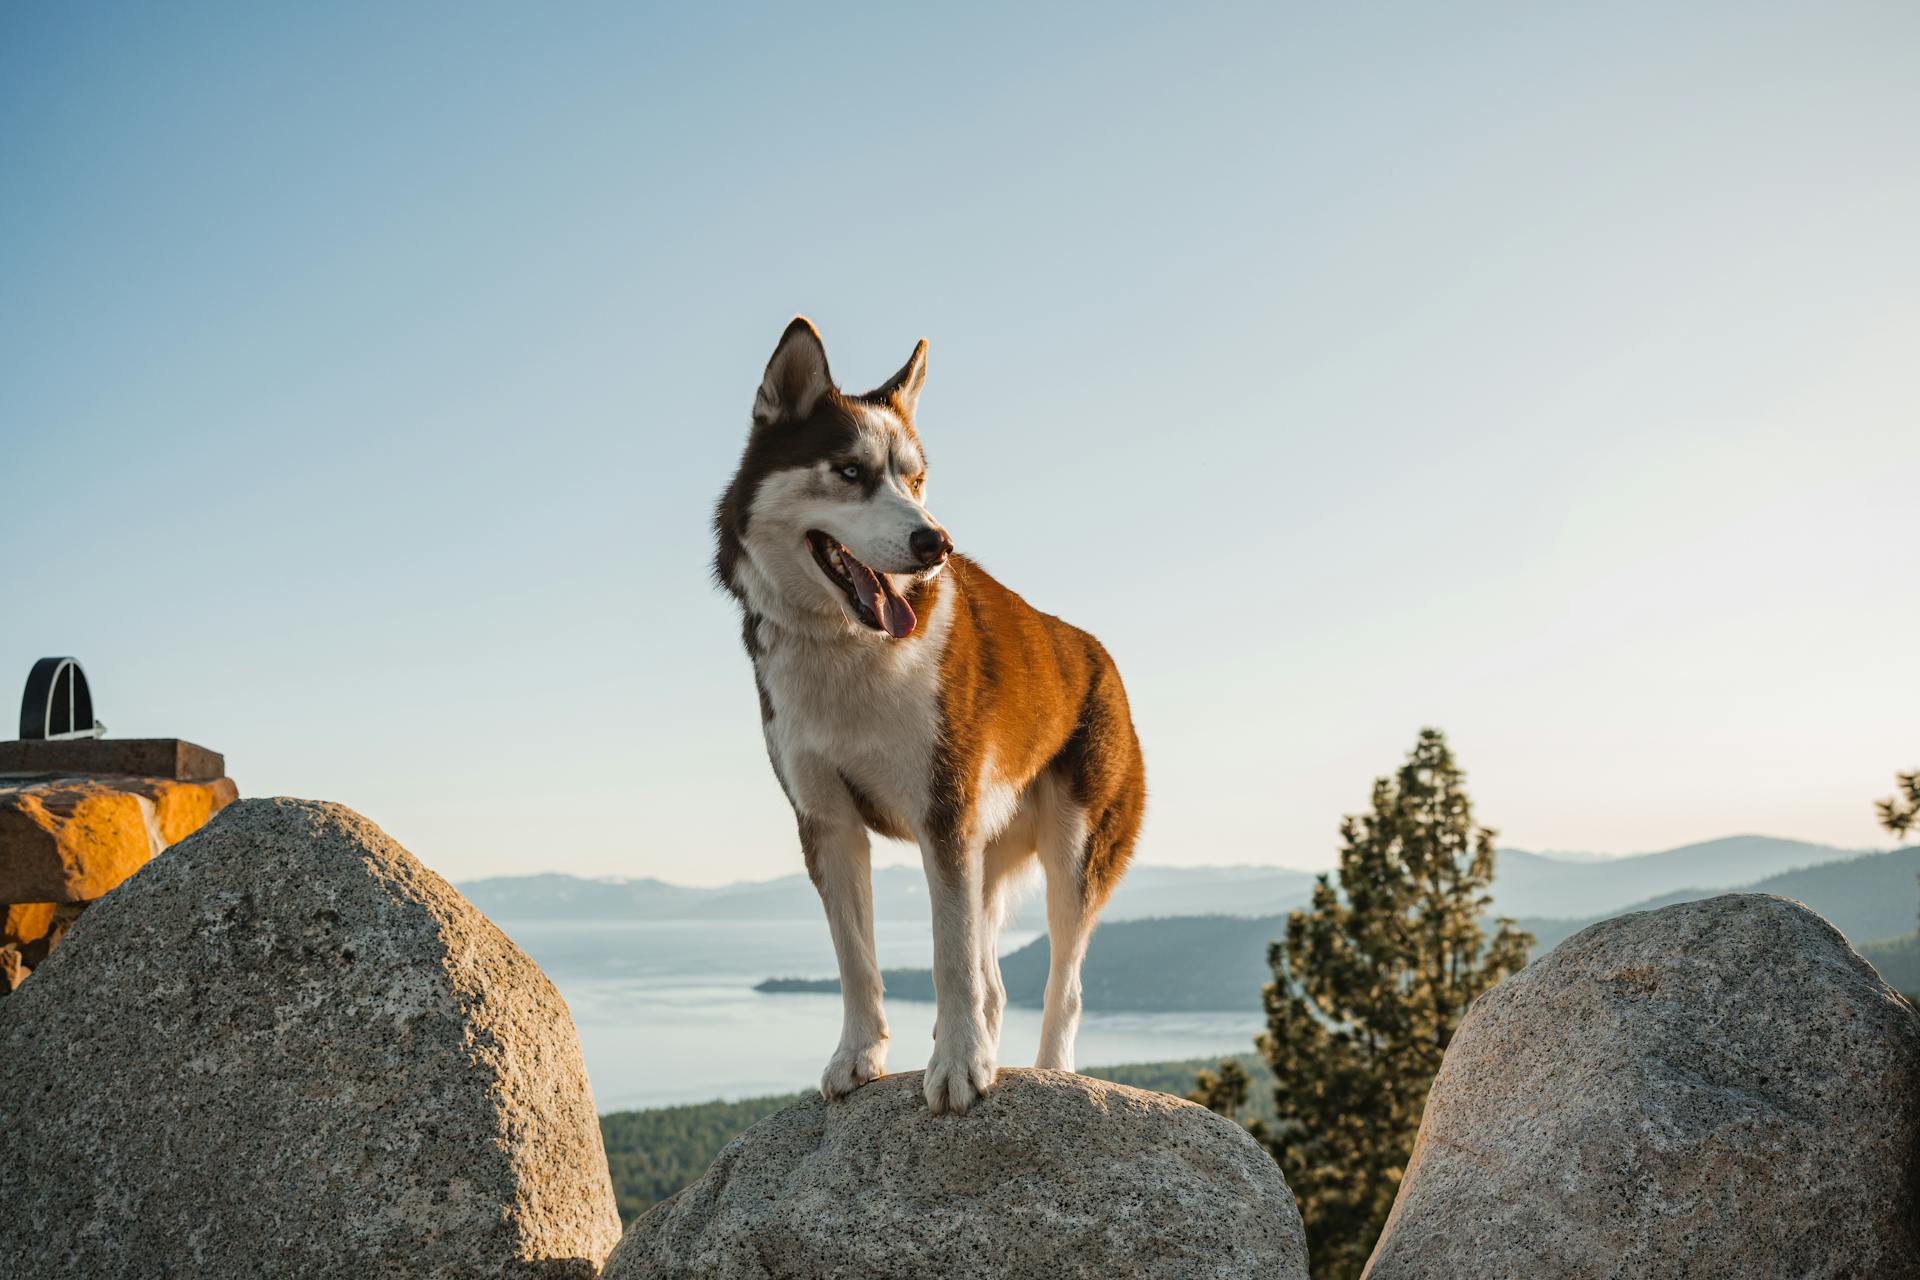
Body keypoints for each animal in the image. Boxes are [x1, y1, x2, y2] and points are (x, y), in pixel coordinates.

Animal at [718, 318, 1136, 1113]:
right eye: (850, 472)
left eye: (915, 480)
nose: (934, 542)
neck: (849, 647)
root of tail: (1098, 653)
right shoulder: (827, 821)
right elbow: (856, 958)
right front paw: (860, 1054)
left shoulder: (942, 810)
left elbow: (950, 962)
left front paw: (961, 1067)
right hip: (988, 852)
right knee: (996, 982)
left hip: (1073, 850)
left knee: (1061, 986)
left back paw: (1053, 1071)